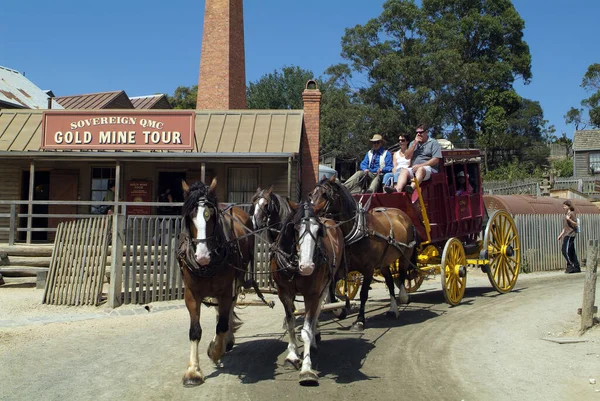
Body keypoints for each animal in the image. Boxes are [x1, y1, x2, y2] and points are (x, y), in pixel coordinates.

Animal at [177, 177, 254, 384]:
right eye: (189, 216)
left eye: (211, 216)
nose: (202, 256)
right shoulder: (191, 294)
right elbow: (195, 330)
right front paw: (193, 371)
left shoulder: (226, 290)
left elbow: (223, 324)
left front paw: (215, 350)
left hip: (238, 280)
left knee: (228, 312)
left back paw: (226, 340)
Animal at [270, 200, 344, 384]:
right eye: (296, 228)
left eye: (319, 230)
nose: (307, 266)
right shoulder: (284, 293)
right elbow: (290, 323)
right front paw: (292, 355)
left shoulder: (312, 294)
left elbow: (306, 330)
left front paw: (307, 369)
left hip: (324, 286)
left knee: (317, 311)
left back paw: (315, 340)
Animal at [310, 177, 418, 330]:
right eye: (312, 194)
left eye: (325, 195)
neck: (357, 231)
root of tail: (402, 214)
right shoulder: (342, 268)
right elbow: (330, 289)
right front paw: (339, 311)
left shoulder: (368, 269)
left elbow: (363, 294)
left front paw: (359, 320)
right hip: (383, 263)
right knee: (390, 282)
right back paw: (393, 309)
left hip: (405, 255)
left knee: (402, 275)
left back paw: (403, 297)